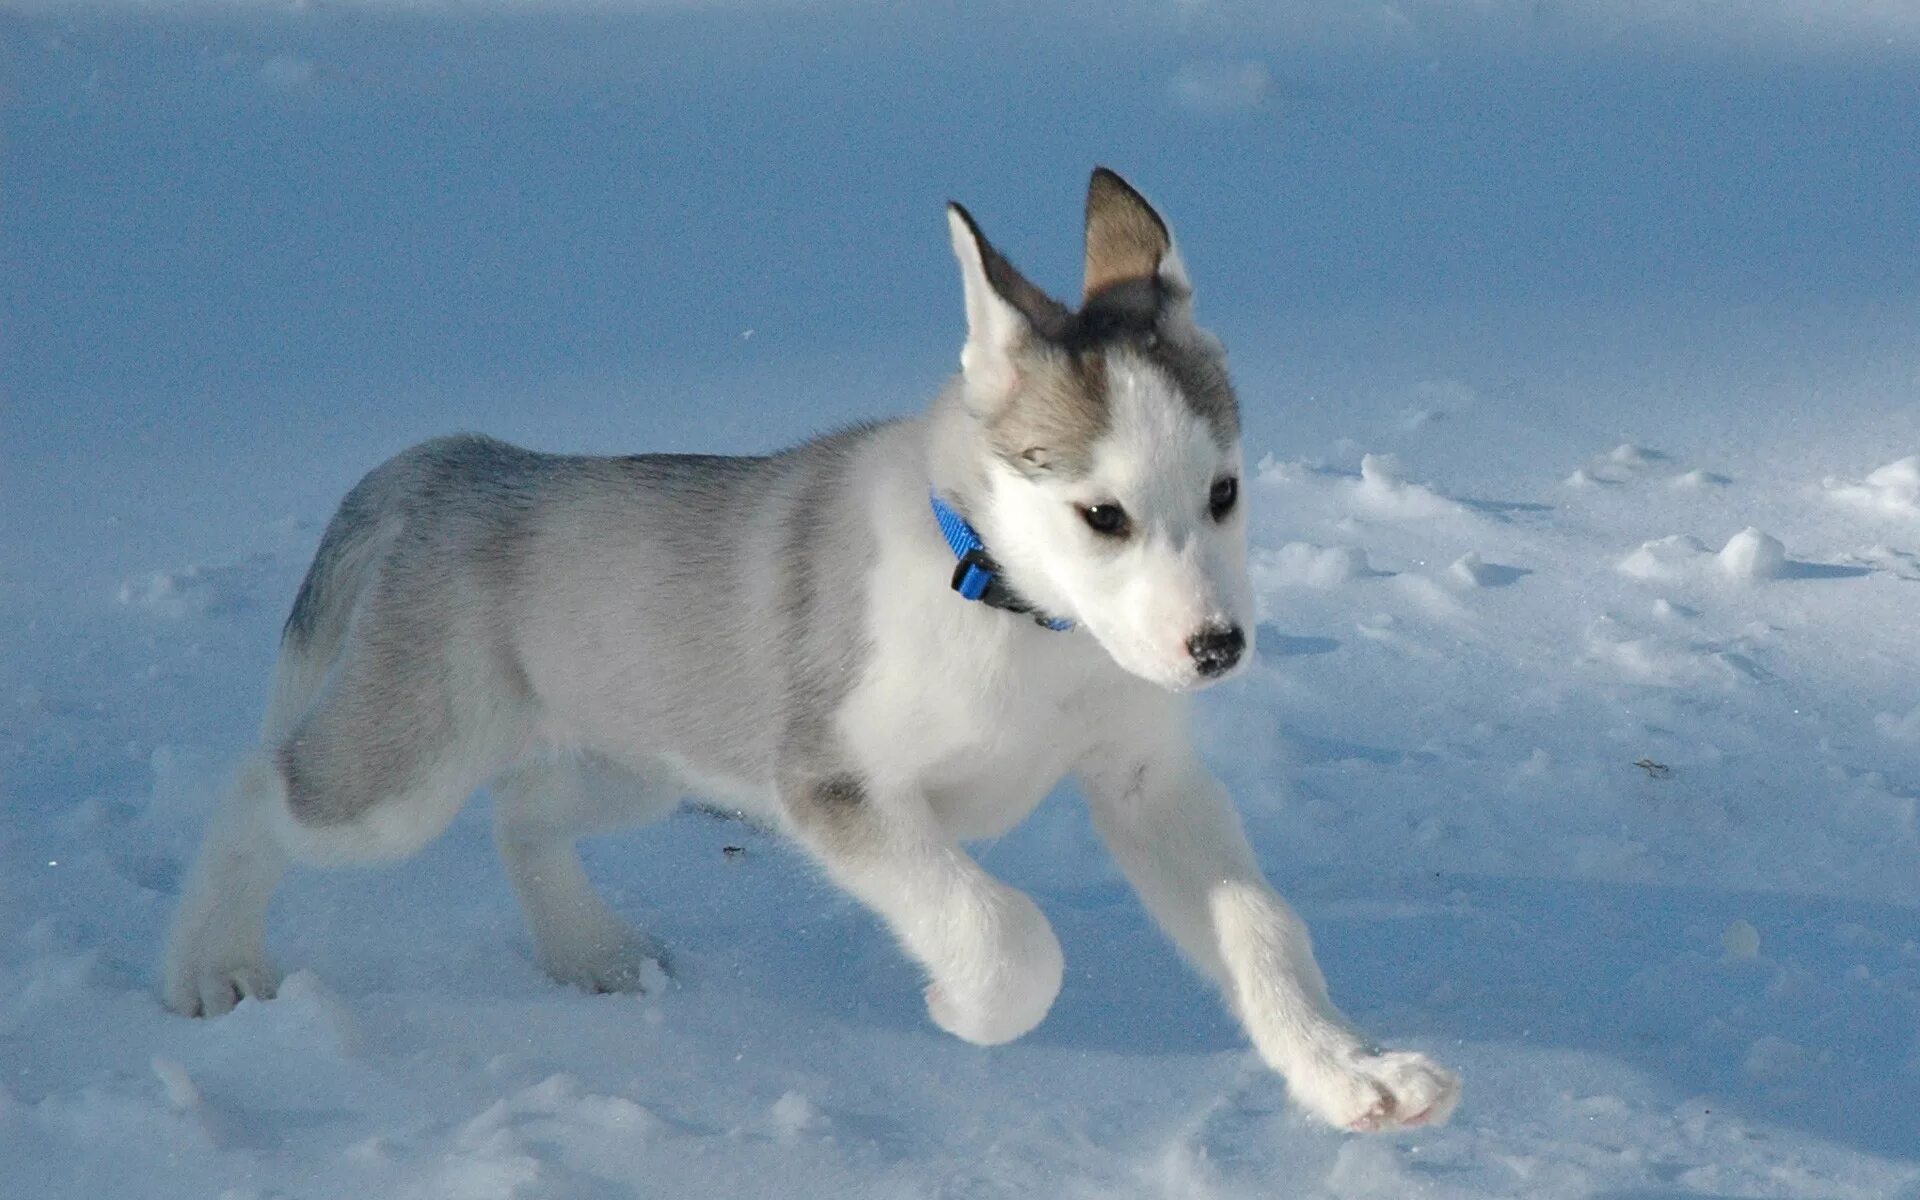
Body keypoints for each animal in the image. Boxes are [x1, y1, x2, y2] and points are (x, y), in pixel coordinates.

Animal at [161, 168, 1451, 1128]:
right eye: (1103, 516)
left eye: (1226, 493)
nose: (1217, 648)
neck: (1014, 613)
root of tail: (457, 460)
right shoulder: (833, 785)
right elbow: (1004, 934)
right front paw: (961, 1011)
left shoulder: (1147, 782)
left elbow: (1263, 931)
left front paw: (1352, 1073)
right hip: (403, 774)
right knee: (259, 788)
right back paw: (210, 969)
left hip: (636, 759)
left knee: (520, 811)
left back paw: (590, 953)